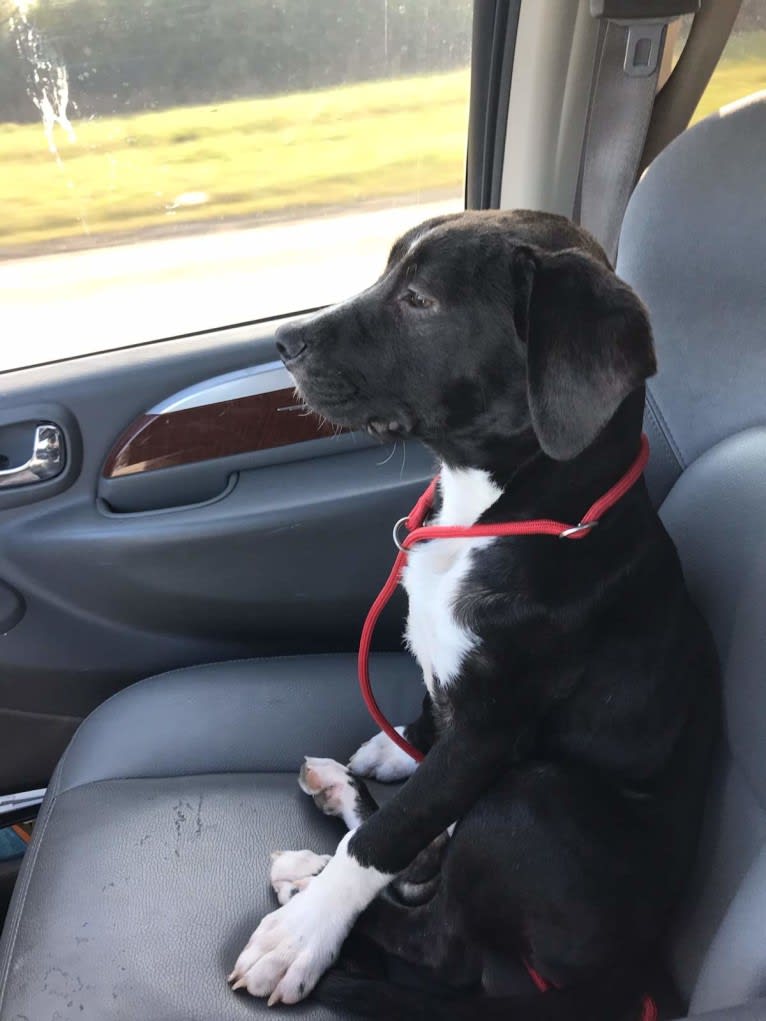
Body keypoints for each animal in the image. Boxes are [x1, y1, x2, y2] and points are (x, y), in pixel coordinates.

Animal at [227, 211, 719, 1016]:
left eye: (420, 301)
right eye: (386, 272)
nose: (283, 342)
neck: (494, 513)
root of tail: (624, 978)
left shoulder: (491, 732)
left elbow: (386, 836)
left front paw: (303, 934)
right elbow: (420, 765)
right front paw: (400, 746)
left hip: (528, 799)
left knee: (444, 941)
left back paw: (311, 893)